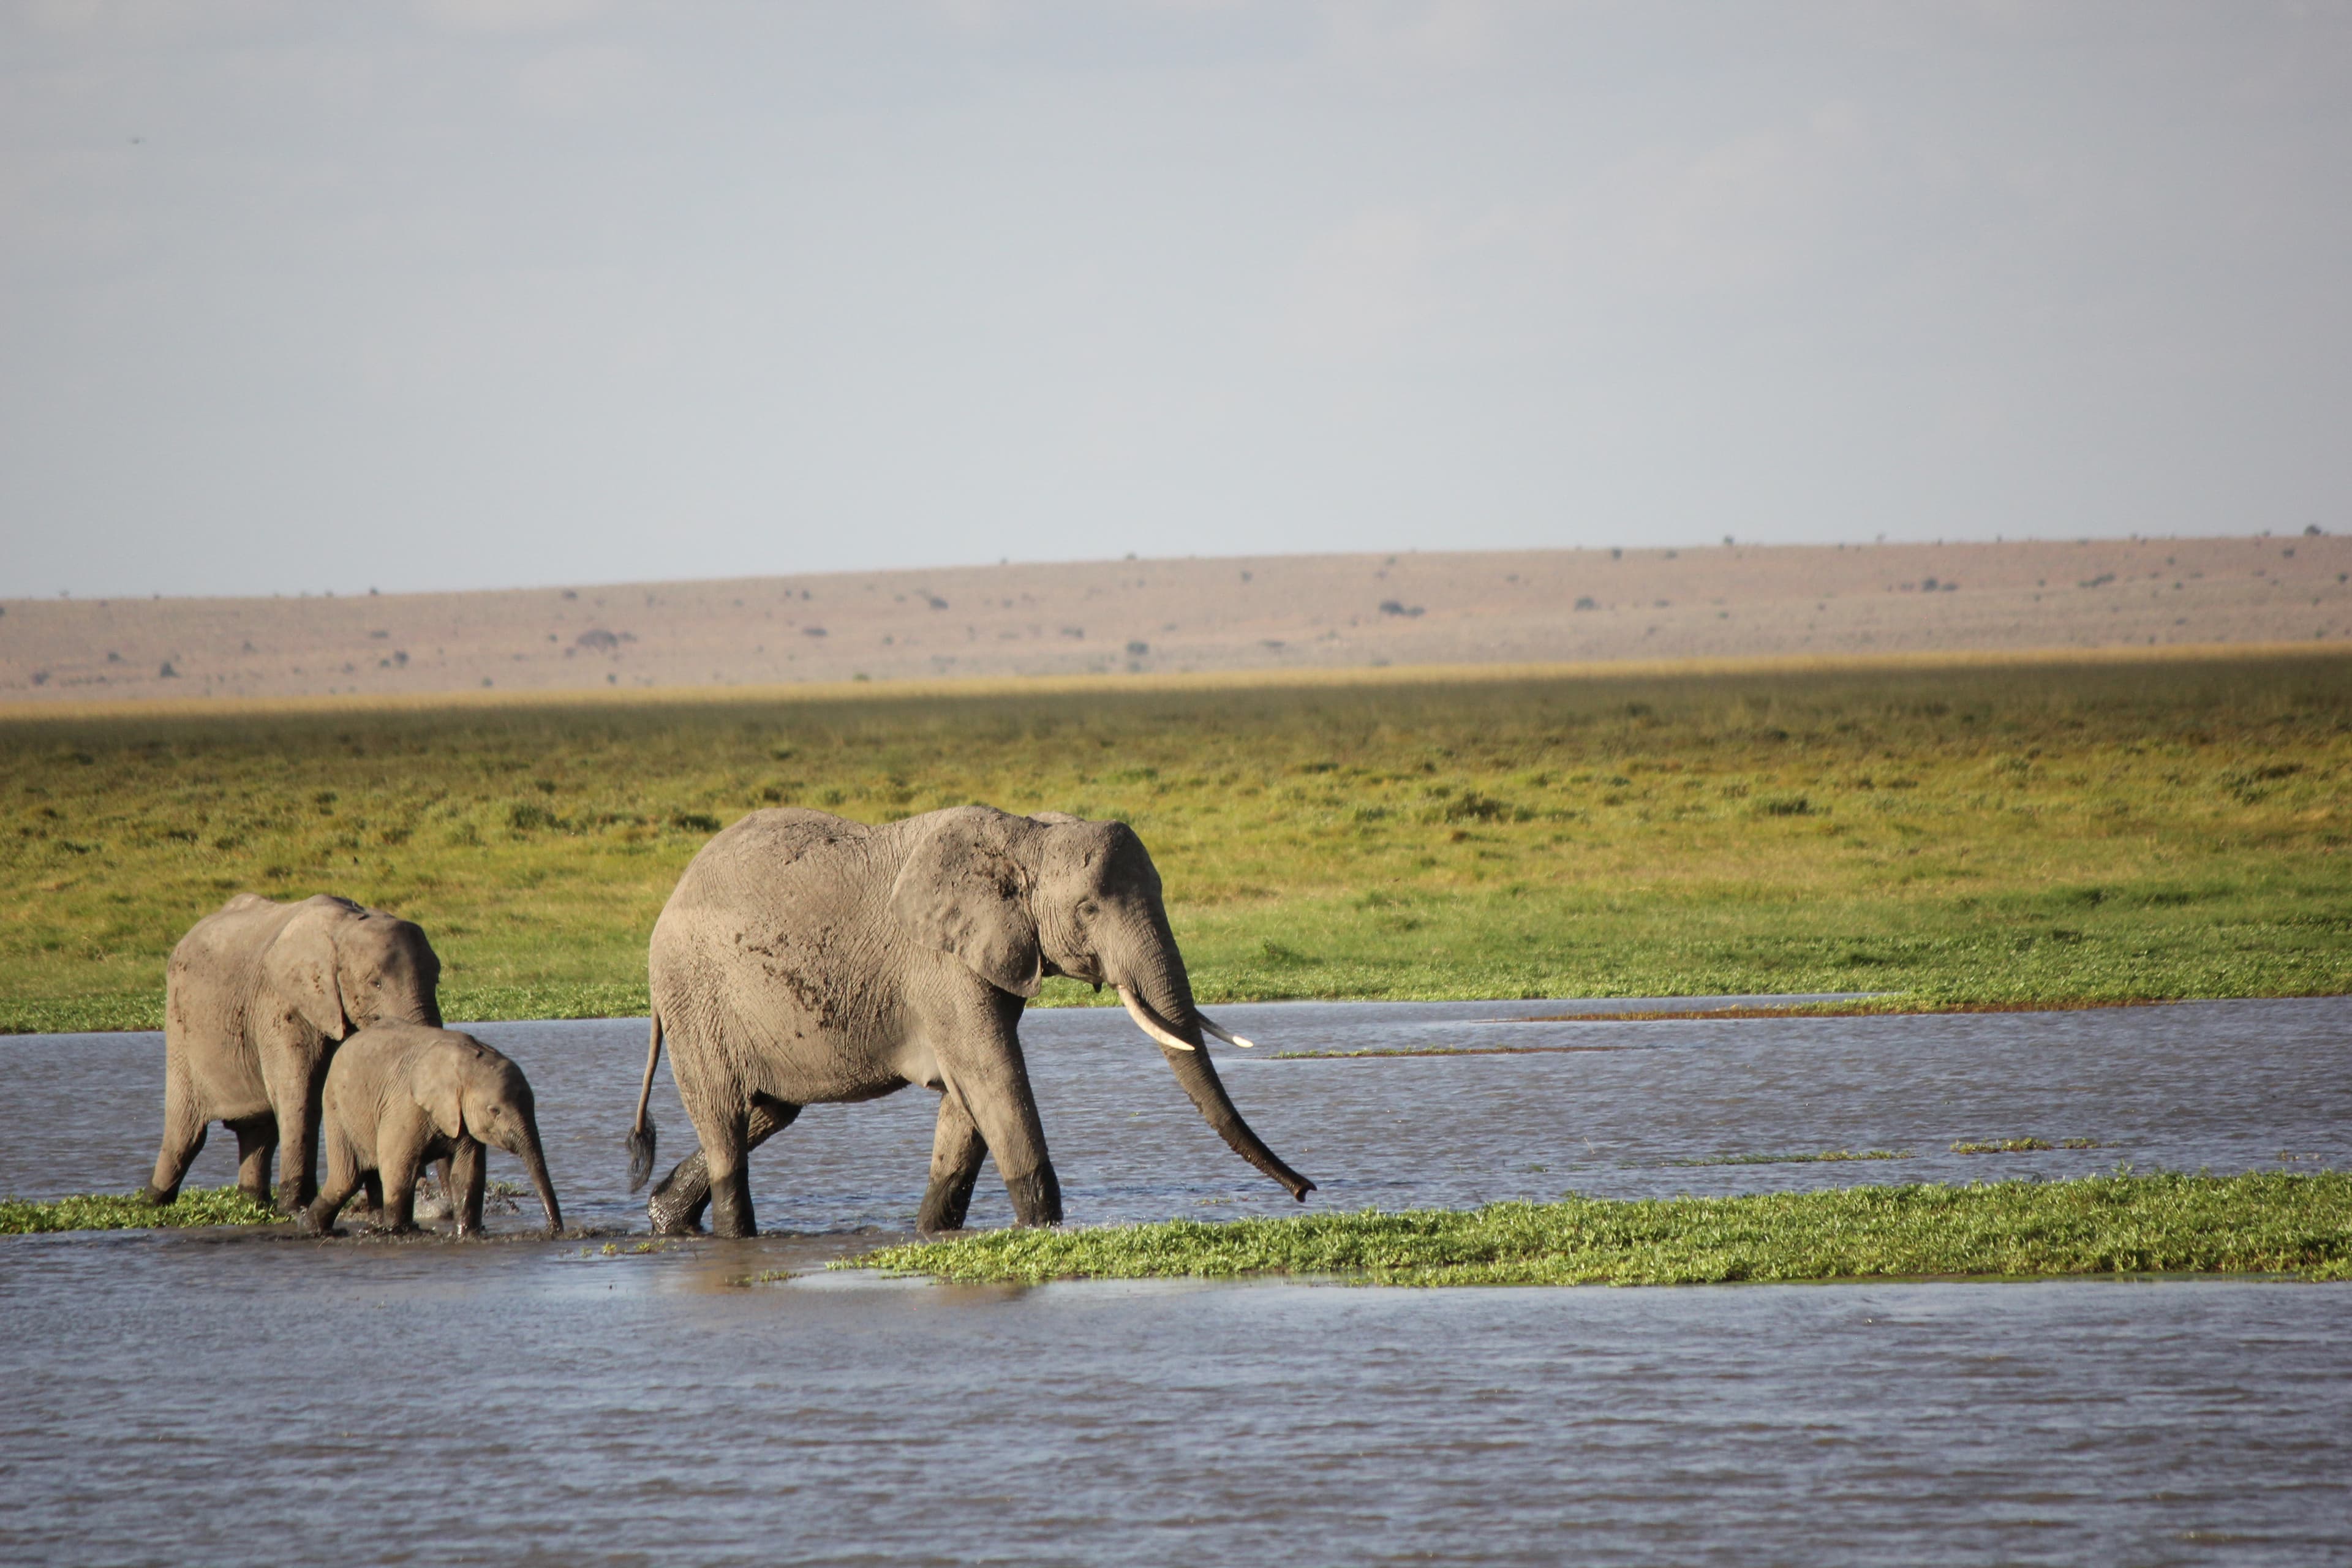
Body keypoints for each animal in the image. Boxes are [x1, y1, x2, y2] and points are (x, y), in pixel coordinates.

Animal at [145, 892, 442, 1213]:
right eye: (375, 983)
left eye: (437, 979)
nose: (429, 1194)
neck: (346, 927)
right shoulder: (281, 1004)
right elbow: (302, 1094)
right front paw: (296, 1208)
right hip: (181, 1026)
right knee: (187, 1132)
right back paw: (154, 1201)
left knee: (258, 1133)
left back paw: (253, 1200)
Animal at [302, 1023, 562, 1237]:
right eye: (494, 1111)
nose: (554, 1230)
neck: (469, 1062)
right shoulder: (405, 1105)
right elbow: (397, 1164)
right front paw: (399, 1232)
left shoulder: (461, 1115)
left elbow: (468, 1172)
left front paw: (467, 1233)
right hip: (336, 1107)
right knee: (347, 1179)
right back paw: (316, 1229)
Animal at [626, 804, 1314, 1238]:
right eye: (1089, 908)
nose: (1306, 1192)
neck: (1029, 835)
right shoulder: (940, 965)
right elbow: (995, 1080)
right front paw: (1042, 1230)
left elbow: (967, 1105)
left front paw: (932, 1234)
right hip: (695, 998)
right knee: (725, 1123)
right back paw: (733, 1235)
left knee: (767, 1111)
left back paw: (666, 1217)